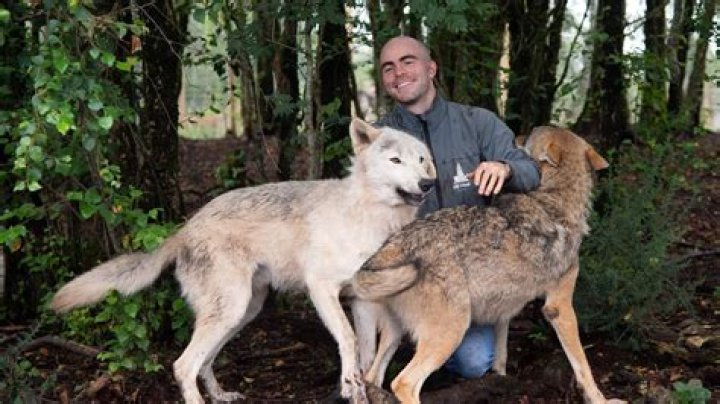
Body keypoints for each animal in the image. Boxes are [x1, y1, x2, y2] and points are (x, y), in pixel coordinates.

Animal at [51, 118, 436, 404]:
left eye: (420, 159)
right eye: (395, 161)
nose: (428, 183)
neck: (367, 216)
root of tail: (184, 229)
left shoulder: (361, 299)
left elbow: (367, 354)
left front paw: (359, 389)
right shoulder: (321, 289)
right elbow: (349, 341)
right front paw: (349, 383)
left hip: (242, 312)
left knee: (203, 362)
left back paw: (221, 395)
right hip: (232, 309)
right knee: (183, 365)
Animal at [351, 127, 625, 404]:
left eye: (528, 136)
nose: (516, 135)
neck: (555, 200)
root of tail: (394, 245)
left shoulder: (506, 309)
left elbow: (501, 355)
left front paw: (500, 381)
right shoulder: (559, 308)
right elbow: (583, 366)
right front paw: (601, 399)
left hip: (396, 335)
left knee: (372, 377)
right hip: (450, 332)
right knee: (403, 383)